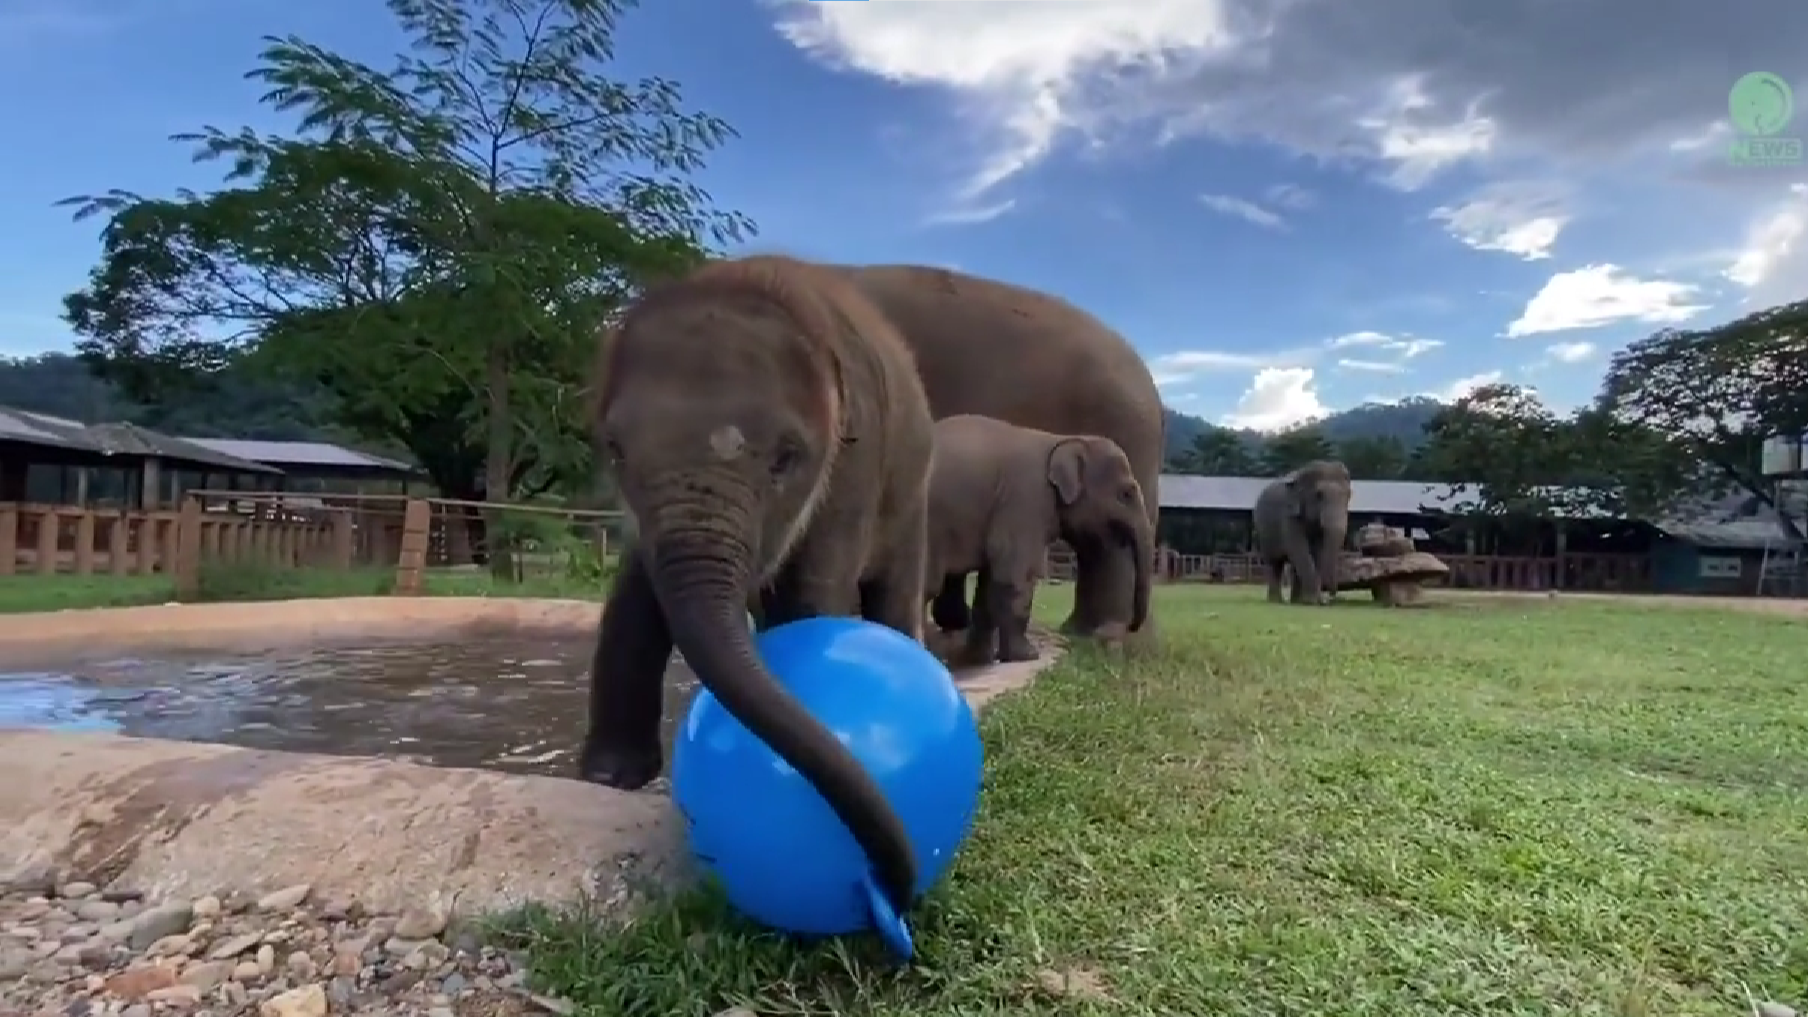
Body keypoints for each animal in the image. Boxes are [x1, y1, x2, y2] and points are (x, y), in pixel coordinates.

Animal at [578, 254, 935, 915]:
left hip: (910, 494)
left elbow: (812, 596)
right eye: (614, 448)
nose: (894, 887)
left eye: (786, 458)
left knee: (892, 594)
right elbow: (633, 604)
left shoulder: (855, 462)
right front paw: (609, 778)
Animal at [925, 415, 1153, 664]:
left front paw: (979, 659)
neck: (1062, 440)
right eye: (1126, 494)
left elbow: (990, 578)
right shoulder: (1026, 499)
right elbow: (1014, 572)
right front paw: (1027, 656)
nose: (1130, 627)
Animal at [1253, 460, 1353, 606]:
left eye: (1349, 495)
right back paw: (1276, 601)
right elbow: (1300, 550)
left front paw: (1310, 601)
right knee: (1274, 563)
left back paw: (1296, 601)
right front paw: (1312, 601)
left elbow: (1317, 553)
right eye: (1319, 495)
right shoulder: (1289, 517)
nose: (1327, 600)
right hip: (1263, 533)